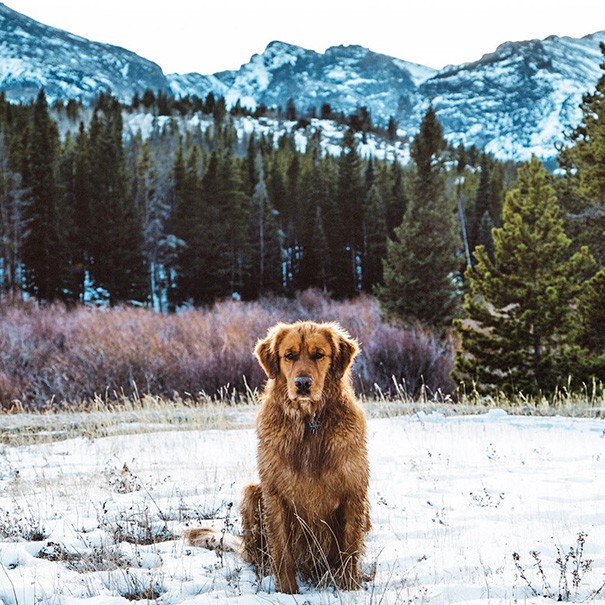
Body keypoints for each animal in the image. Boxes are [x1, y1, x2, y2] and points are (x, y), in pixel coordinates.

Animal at [184, 324, 370, 592]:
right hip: (252, 492)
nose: (302, 383)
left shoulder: (354, 491)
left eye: (319, 354)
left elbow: (349, 550)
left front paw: (349, 589)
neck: (308, 422)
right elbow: (282, 552)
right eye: (289, 355)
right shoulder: (274, 493)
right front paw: (287, 592)